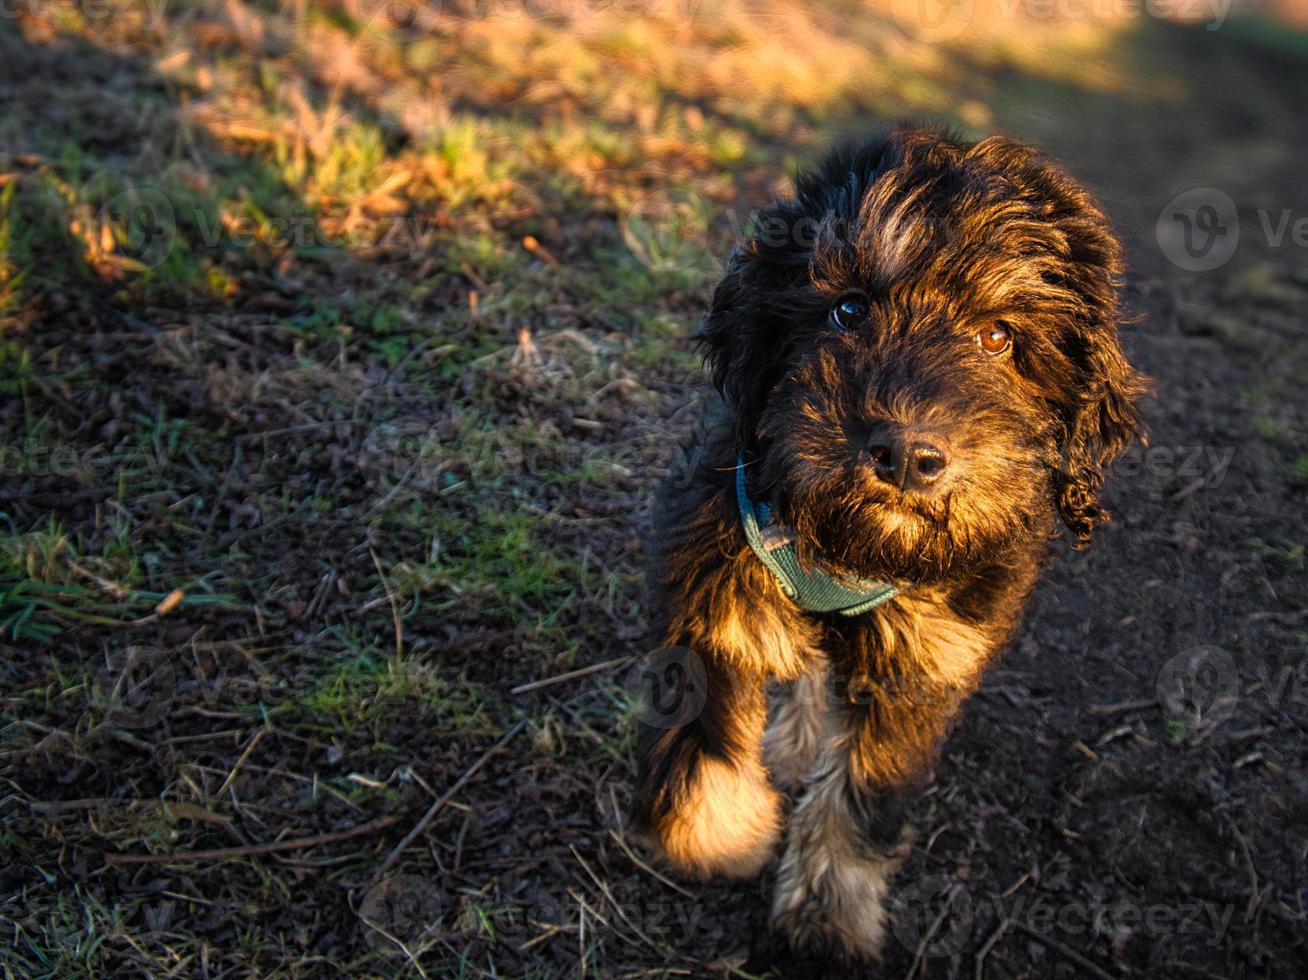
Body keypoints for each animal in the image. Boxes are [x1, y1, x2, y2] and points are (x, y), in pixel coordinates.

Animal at [630, 126, 1145, 957]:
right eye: (847, 308)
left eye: (998, 336)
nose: (906, 454)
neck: (855, 547)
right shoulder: (715, 578)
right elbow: (703, 728)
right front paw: (718, 837)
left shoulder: (928, 659)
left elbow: (864, 792)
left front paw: (825, 916)